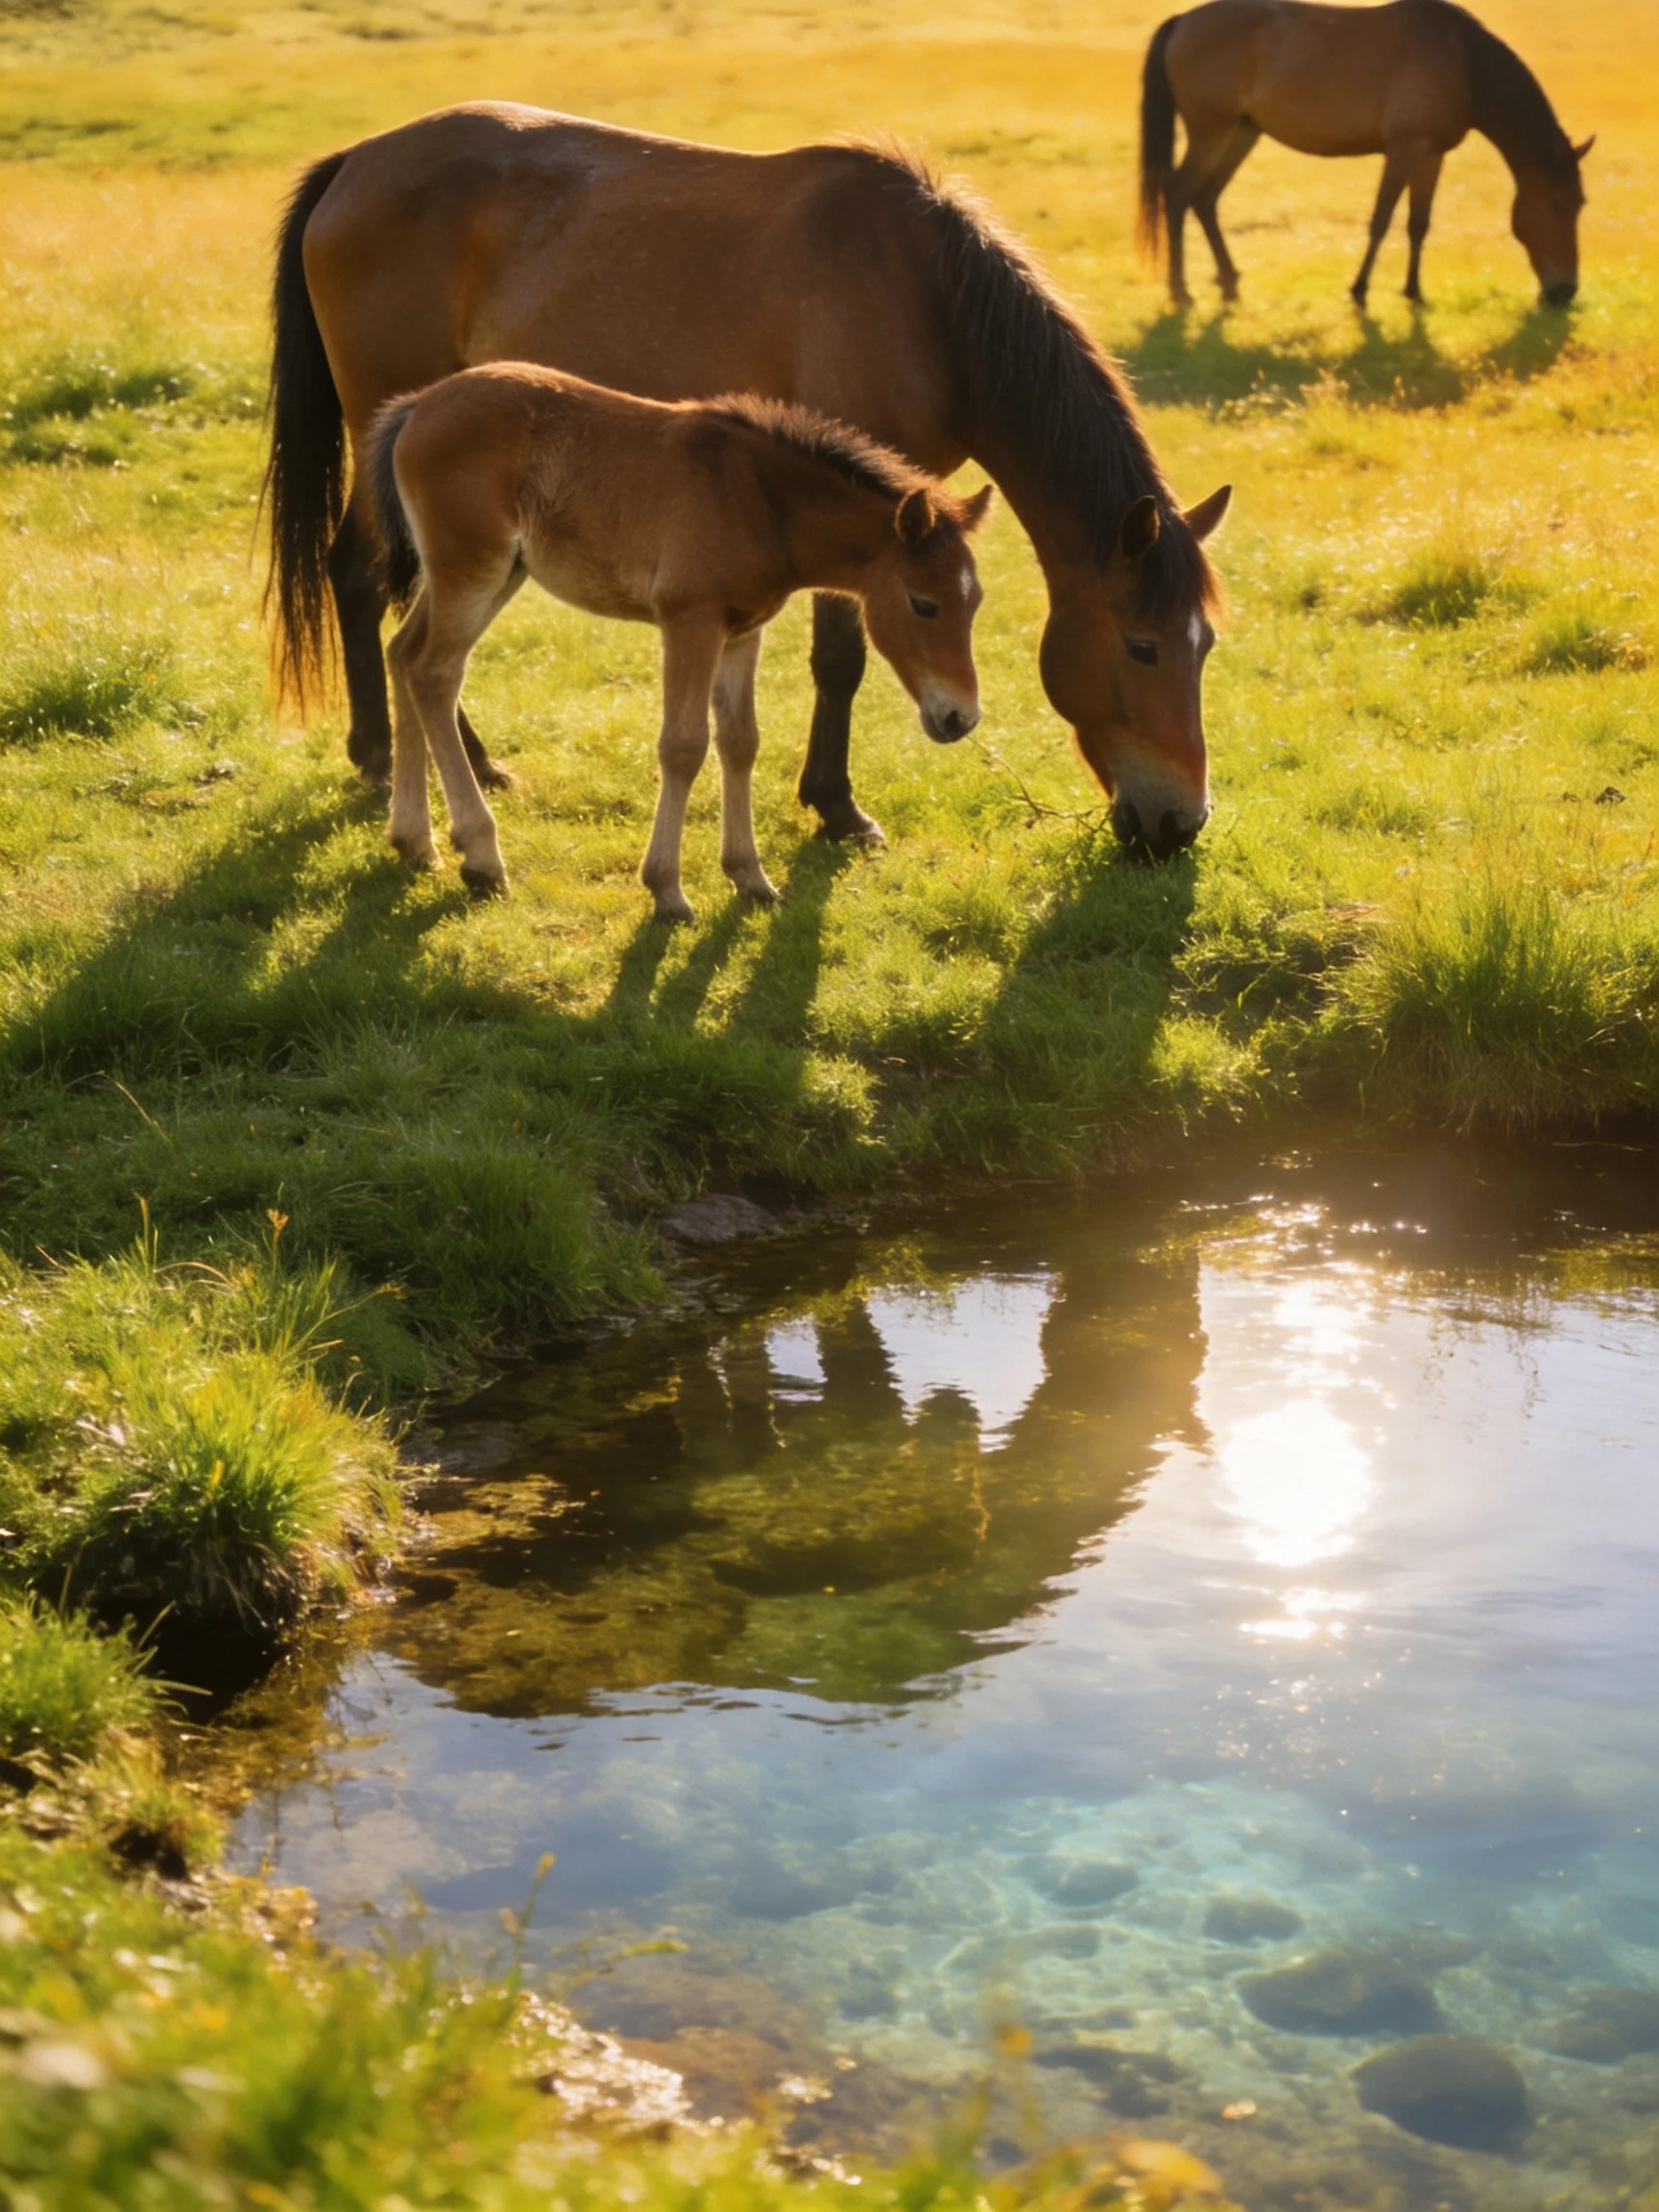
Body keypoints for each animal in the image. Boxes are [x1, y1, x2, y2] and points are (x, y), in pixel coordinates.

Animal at [265, 111, 1231, 863]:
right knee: (369, 586)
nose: (1181, 823)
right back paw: (385, 759)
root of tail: (355, 161)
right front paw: (837, 807)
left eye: (1206, 647)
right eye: (1143, 647)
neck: (927, 302)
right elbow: (841, 660)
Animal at [366, 366, 991, 920]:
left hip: (488, 576)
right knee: (434, 673)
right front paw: (667, 889)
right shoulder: (690, 620)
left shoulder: (743, 632)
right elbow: (684, 745)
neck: (759, 499)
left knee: (403, 654)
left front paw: (749, 875)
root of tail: (417, 406)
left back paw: (414, 841)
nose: (960, 718)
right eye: (924, 603)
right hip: (472, 570)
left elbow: (740, 741)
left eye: (976, 600)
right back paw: (482, 858)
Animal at [1139, 0, 1592, 308]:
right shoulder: (1403, 149)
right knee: (1179, 193)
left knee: (1205, 197)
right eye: (1557, 203)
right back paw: (1180, 290)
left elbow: (1418, 224)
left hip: (1241, 133)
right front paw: (1359, 291)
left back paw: (1229, 279)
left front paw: (1413, 292)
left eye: (1580, 204)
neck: (1460, 60)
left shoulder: (1431, 155)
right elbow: (1381, 220)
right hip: (1211, 131)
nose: (1565, 291)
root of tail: (1182, 22)